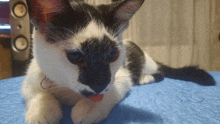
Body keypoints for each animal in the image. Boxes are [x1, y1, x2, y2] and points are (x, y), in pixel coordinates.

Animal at [21, 0, 216, 124]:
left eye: (113, 54)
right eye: (75, 56)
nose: (99, 84)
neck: (67, 91)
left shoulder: (121, 77)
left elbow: (111, 92)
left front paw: (88, 108)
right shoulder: (30, 78)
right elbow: (37, 92)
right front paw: (43, 111)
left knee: (159, 74)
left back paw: (145, 78)